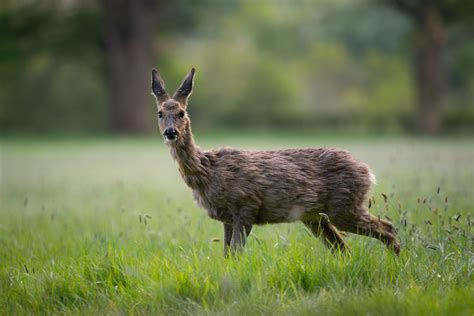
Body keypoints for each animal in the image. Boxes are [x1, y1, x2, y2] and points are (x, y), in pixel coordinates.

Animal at [151, 68, 400, 256]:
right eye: (160, 113)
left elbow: (237, 252)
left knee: (388, 229)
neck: (207, 171)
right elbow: (227, 255)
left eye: (182, 113)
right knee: (343, 248)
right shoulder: (226, 217)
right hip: (317, 217)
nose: (171, 133)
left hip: (344, 206)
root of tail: (368, 172)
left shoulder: (246, 205)